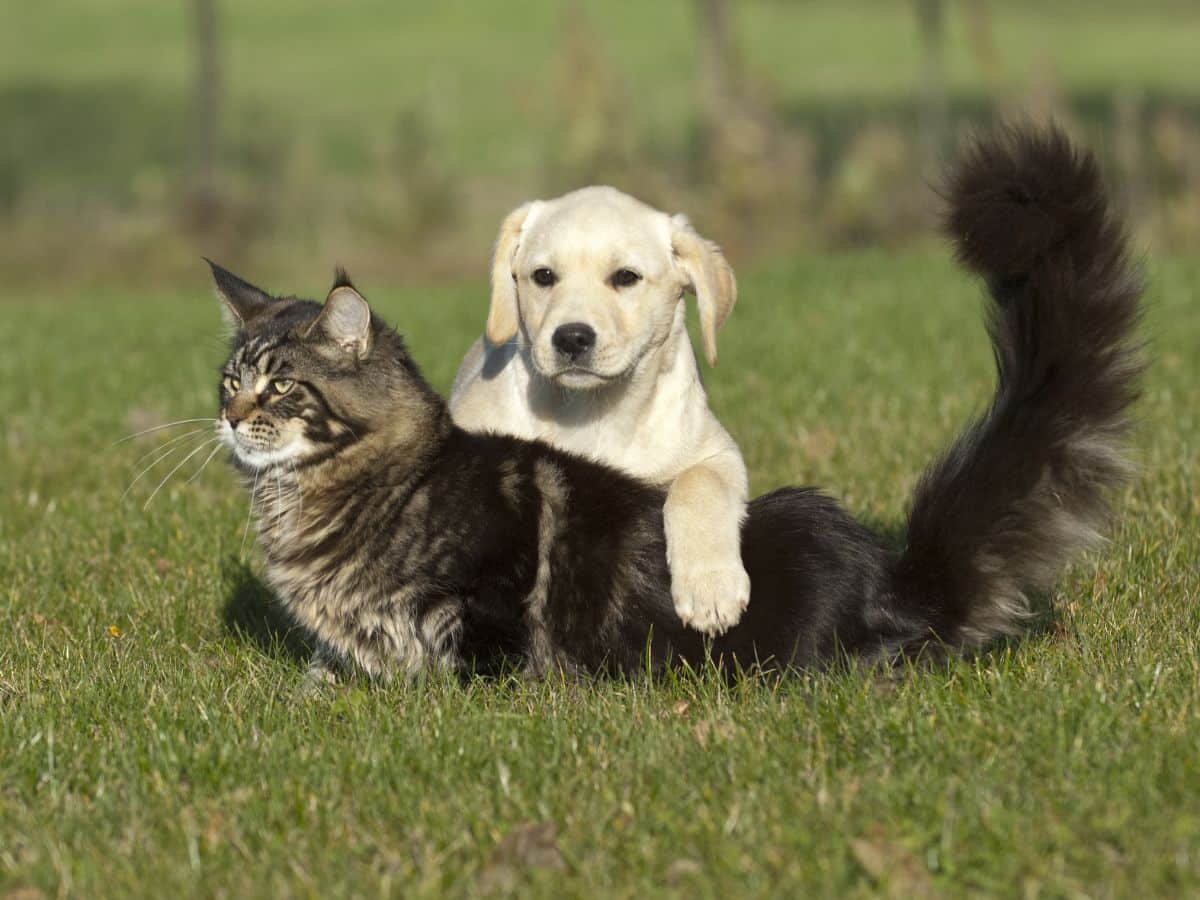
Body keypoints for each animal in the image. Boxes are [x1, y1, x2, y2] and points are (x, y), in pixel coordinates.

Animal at [451, 184, 748, 633]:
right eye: (544, 276)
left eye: (626, 277)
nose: (571, 338)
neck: (589, 410)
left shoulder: (718, 452)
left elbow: (699, 485)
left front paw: (711, 587)